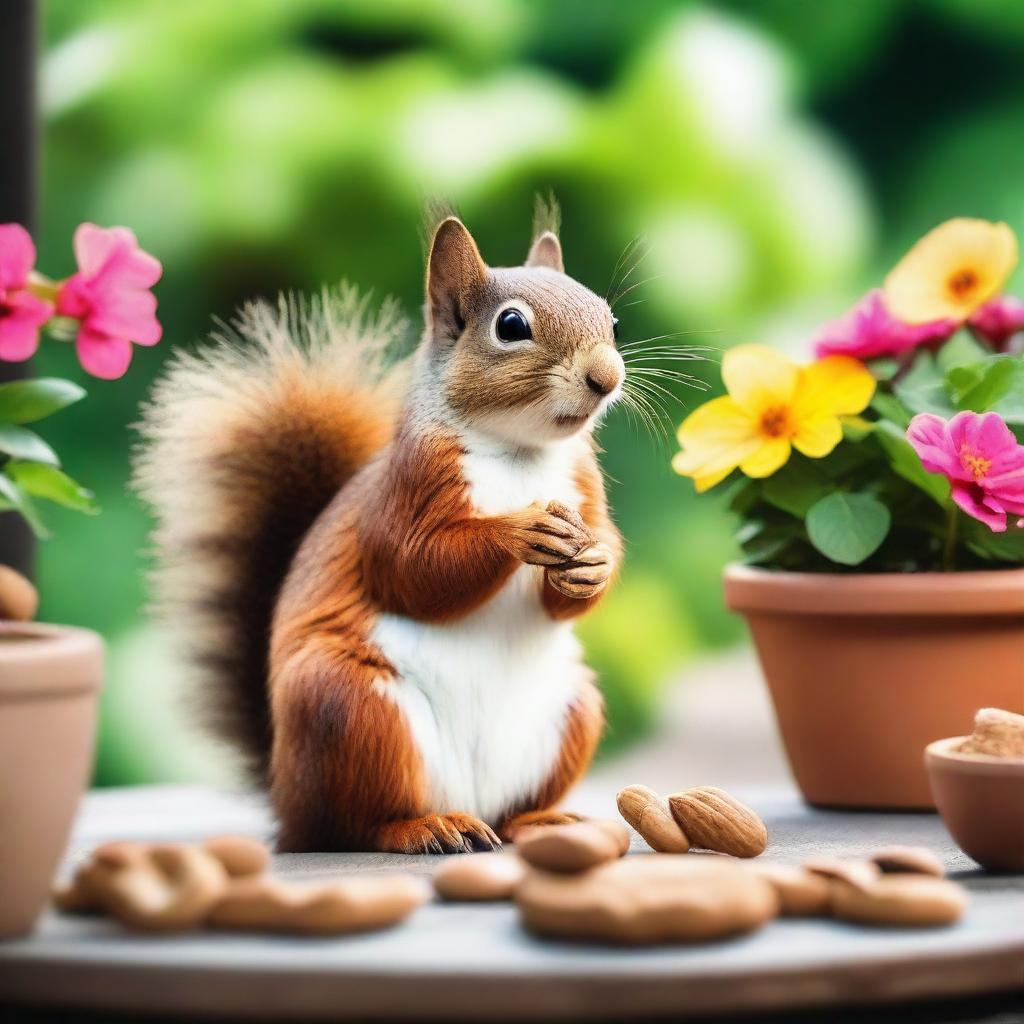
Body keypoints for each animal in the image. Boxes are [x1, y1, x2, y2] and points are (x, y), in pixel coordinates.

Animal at [135, 203, 622, 851]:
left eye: (611, 319)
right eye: (512, 326)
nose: (607, 377)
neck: (520, 453)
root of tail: (285, 796)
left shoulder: (583, 489)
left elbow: (585, 567)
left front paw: (595, 565)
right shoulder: (407, 489)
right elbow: (413, 570)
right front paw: (518, 531)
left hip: (572, 710)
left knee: (509, 811)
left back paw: (541, 820)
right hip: (350, 708)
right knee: (355, 822)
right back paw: (424, 827)